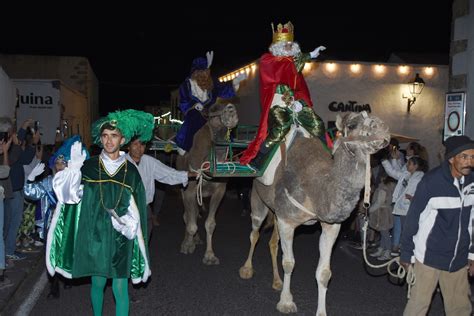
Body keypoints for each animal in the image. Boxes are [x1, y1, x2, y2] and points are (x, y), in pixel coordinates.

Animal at [176, 103, 239, 264]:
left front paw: (210, 256)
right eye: (214, 108)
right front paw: (188, 245)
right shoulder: (190, 190)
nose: (231, 108)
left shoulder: (220, 190)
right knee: (187, 215)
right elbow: (191, 223)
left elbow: (210, 224)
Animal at [237, 111, 388, 314]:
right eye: (352, 124)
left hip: (276, 212)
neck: (317, 188)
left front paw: (321, 311)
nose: (383, 129)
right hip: (258, 197)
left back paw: (277, 281)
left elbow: (324, 272)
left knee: (273, 242)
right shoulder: (287, 221)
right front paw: (286, 303)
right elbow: (289, 263)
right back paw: (246, 269)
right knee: (255, 232)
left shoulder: (330, 226)